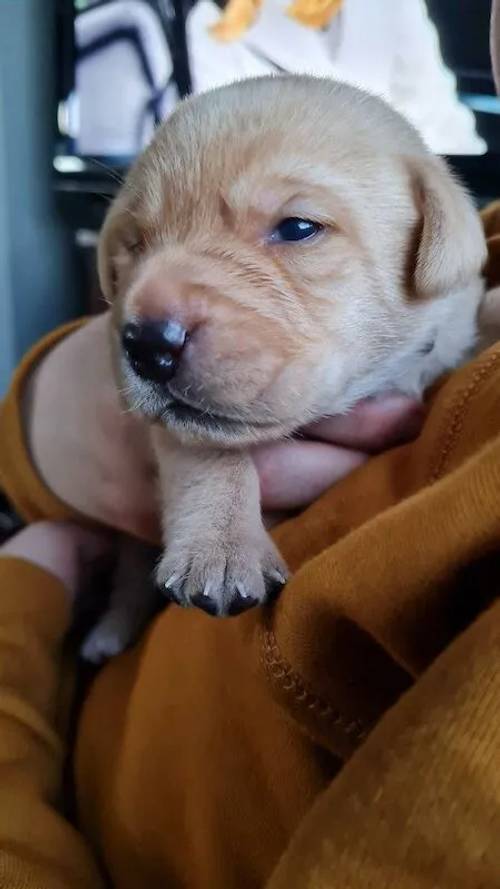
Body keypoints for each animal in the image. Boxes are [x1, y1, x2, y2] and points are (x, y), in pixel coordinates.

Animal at [80, 74, 486, 660]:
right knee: (129, 573)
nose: (145, 344)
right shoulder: (181, 430)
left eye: (297, 228)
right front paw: (223, 547)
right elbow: (210, 455)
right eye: (135, 243)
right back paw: (110, 631)